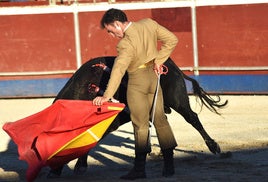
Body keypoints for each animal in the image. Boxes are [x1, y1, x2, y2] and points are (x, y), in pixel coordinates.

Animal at [52, 56, 228, 174]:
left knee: (192, 118)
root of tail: (171, 64)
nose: (52, 171)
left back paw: (214, 147)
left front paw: (79, 166)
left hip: (177, 100)